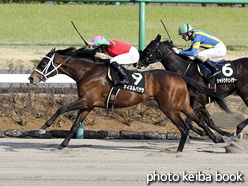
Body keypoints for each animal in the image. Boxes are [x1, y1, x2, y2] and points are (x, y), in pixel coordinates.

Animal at [28, 47, 229, 152]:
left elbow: (61, 109)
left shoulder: (85, 101)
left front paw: (43, 128)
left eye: (43, 63)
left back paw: (180, 150)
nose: (31, 78)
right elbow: (75, 124)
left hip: (169, 108)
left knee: (185, 127)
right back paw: (215, 136)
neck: (88, 72)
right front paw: (62, 144)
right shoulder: (88, 105)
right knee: (199, 119)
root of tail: (180, 77)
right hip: (183, 105)